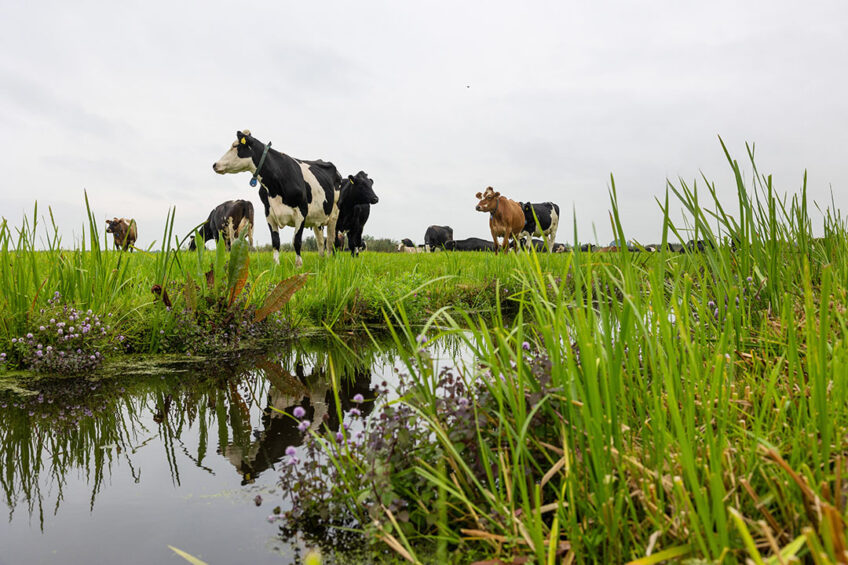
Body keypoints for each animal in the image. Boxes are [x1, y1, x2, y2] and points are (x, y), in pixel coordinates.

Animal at [212, 130, 342, 266]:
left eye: (235, 146)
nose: (215, 165)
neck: (274, 187)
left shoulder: (302, 212)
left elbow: (296, 241)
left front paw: (299, 265)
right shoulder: (269, 214)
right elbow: (275, 241)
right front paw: (276, 264)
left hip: (334, 215)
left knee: (331, 240)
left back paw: (329, 261)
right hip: (318, 219)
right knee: (321, 241)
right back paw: (321, 261)